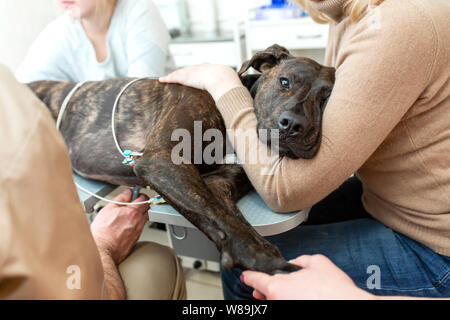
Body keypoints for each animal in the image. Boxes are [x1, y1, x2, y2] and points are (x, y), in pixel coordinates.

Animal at [26, 45, 332, 276]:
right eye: (285, 82)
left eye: (326, 100)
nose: (293, 126)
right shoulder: (163, 161)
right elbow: (223, 219)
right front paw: (266, 260)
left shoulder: (218, 184)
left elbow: (229, 219)